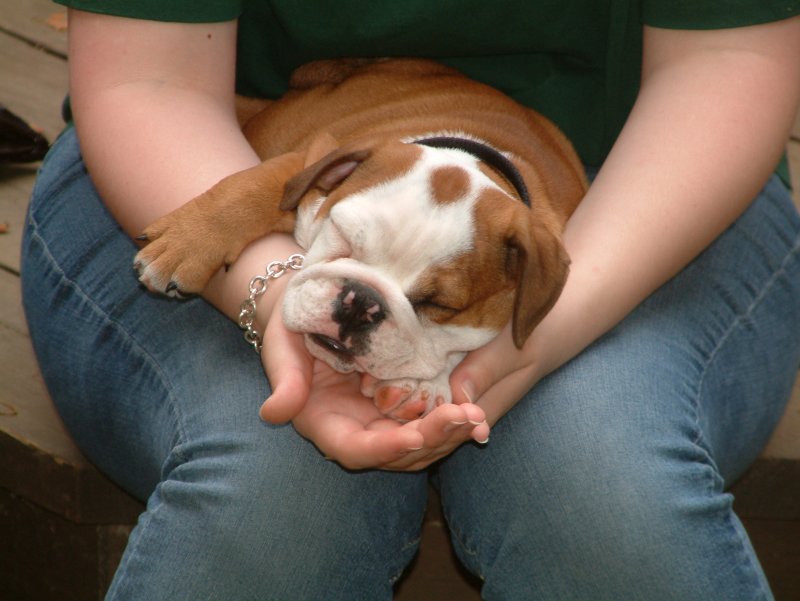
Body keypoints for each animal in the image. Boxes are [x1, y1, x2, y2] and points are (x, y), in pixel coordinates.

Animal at [133, 58, 588, 420]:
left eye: (438, 305)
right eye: (343, 238)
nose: (360, 302)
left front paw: (424, 385)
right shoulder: (310, 159)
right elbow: (248, 189)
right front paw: (187, 241)